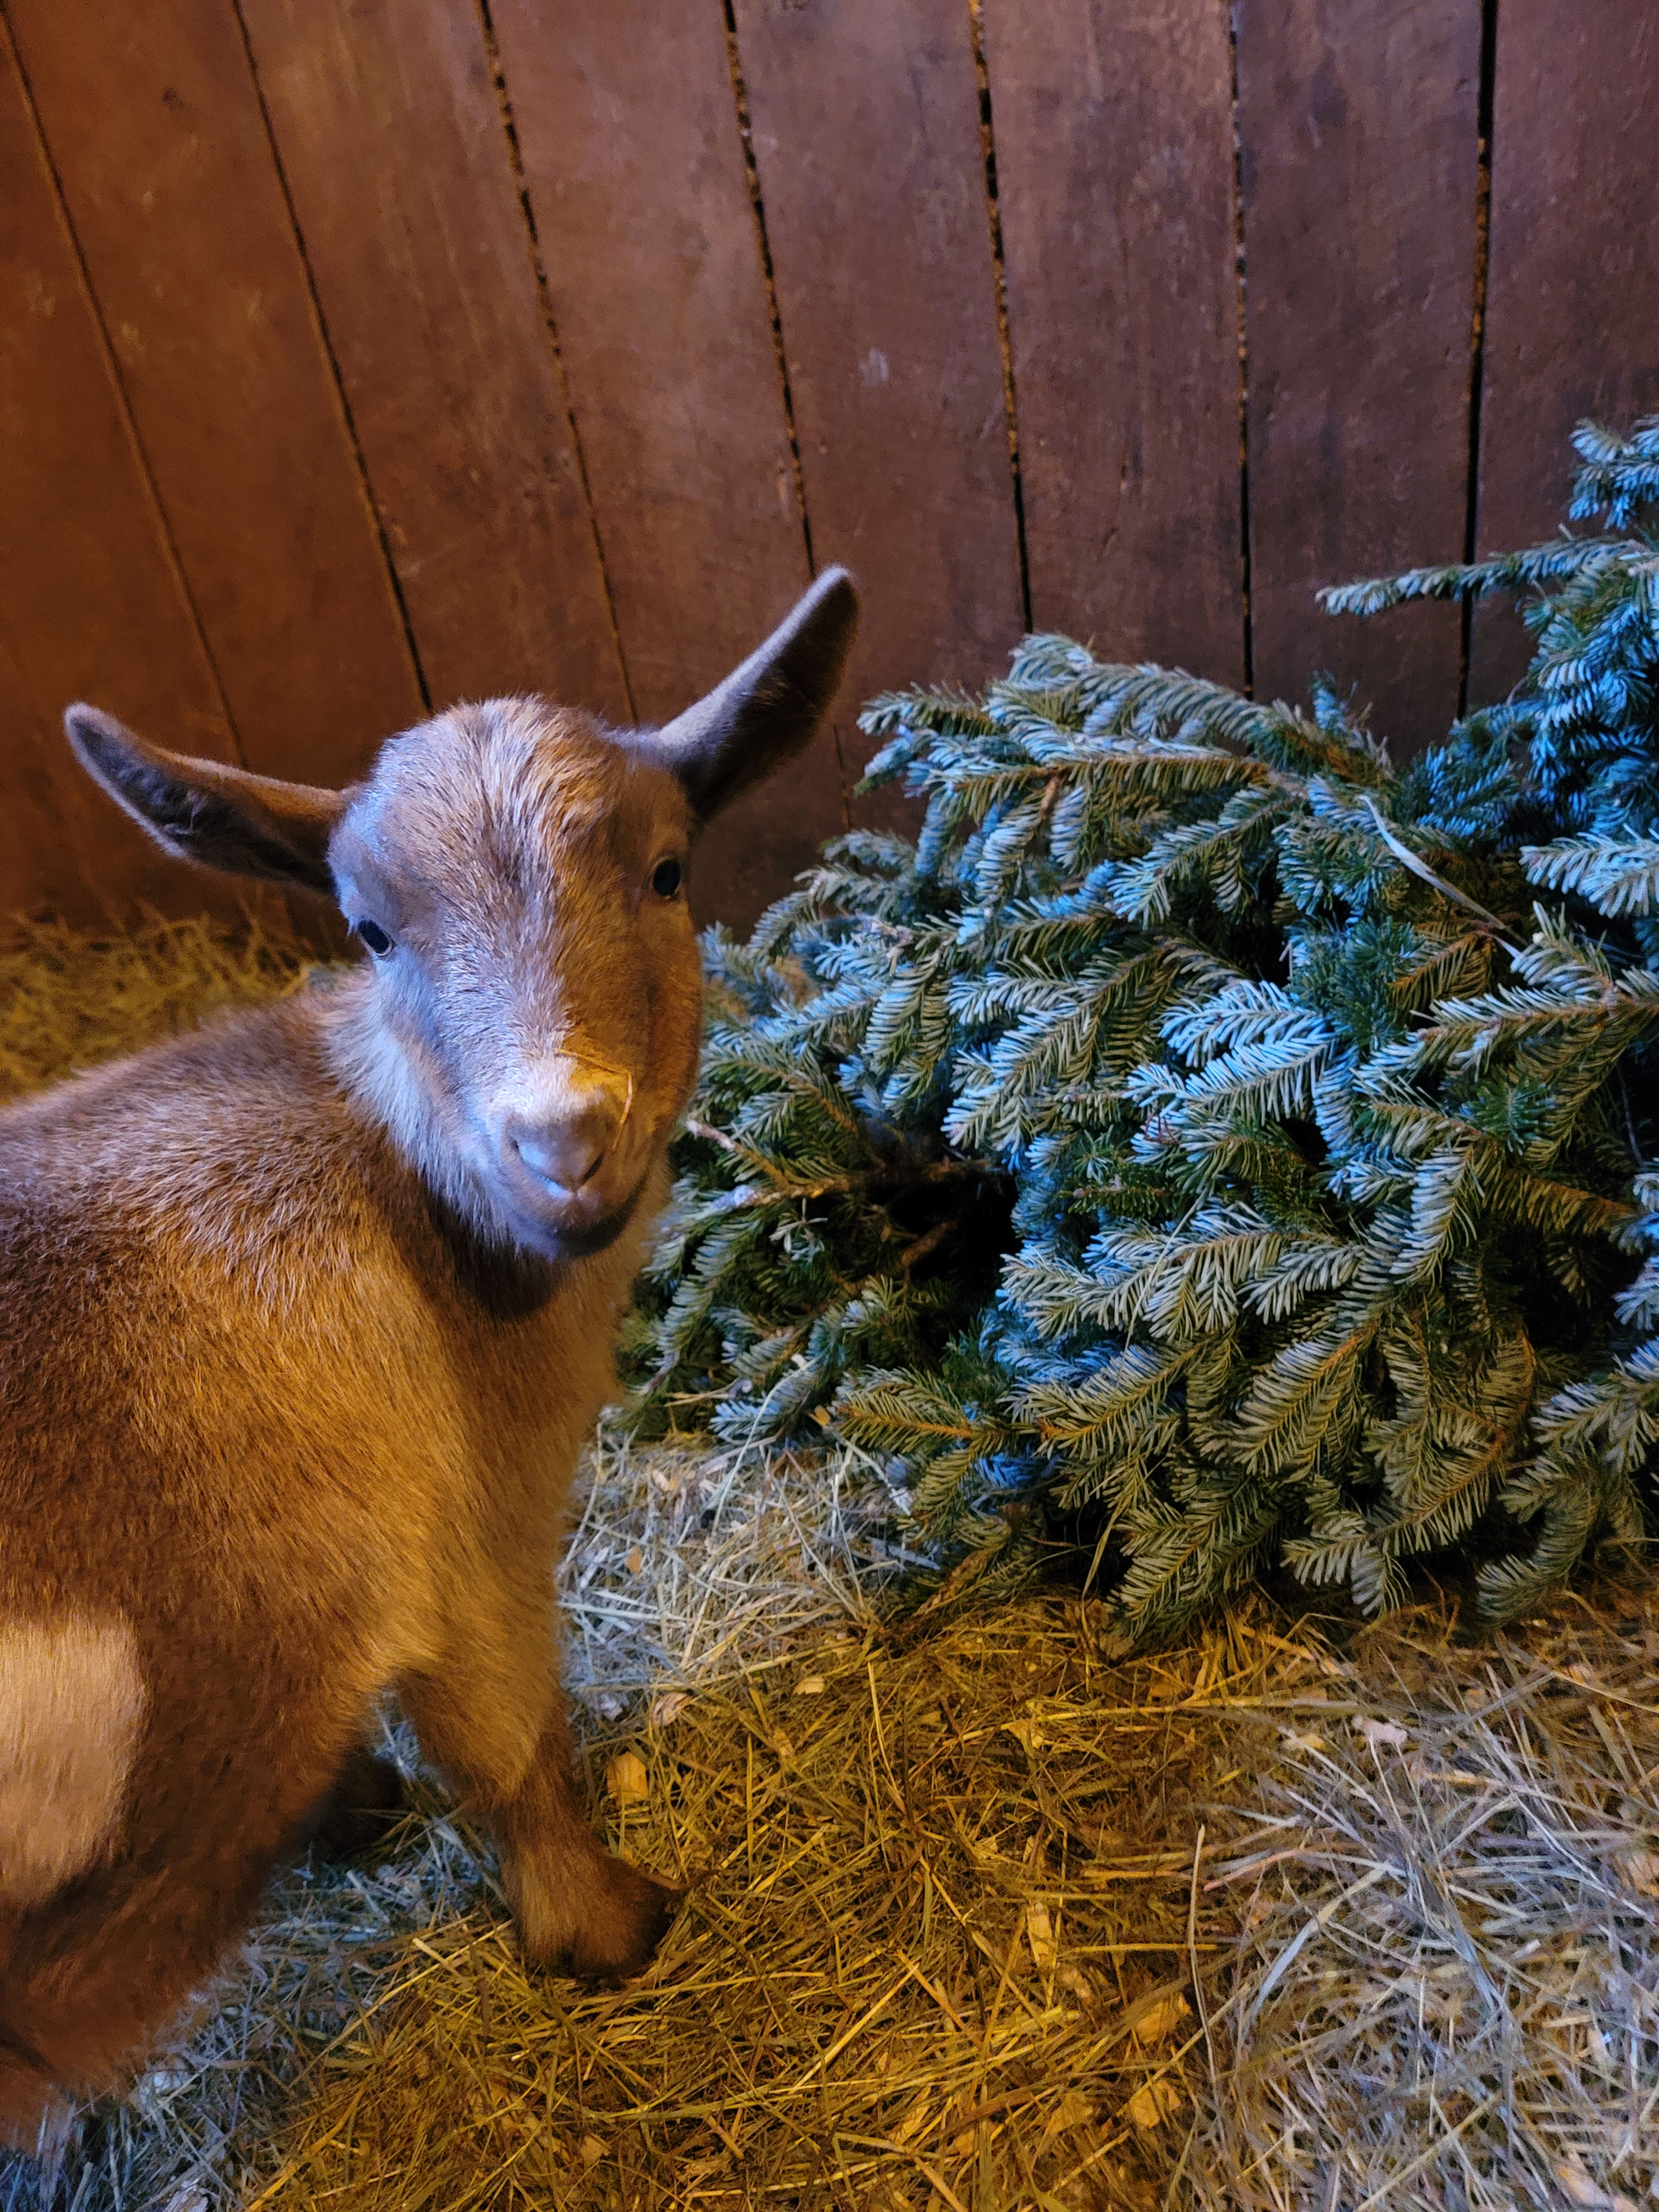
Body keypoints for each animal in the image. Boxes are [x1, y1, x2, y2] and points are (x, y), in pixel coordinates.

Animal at [0, 569, 859, 2145]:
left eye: (666, 870)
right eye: (369, 927)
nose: (563, 1143)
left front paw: (350, 1808)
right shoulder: (459, 1540)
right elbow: (509, 1740)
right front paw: (604, 1923)